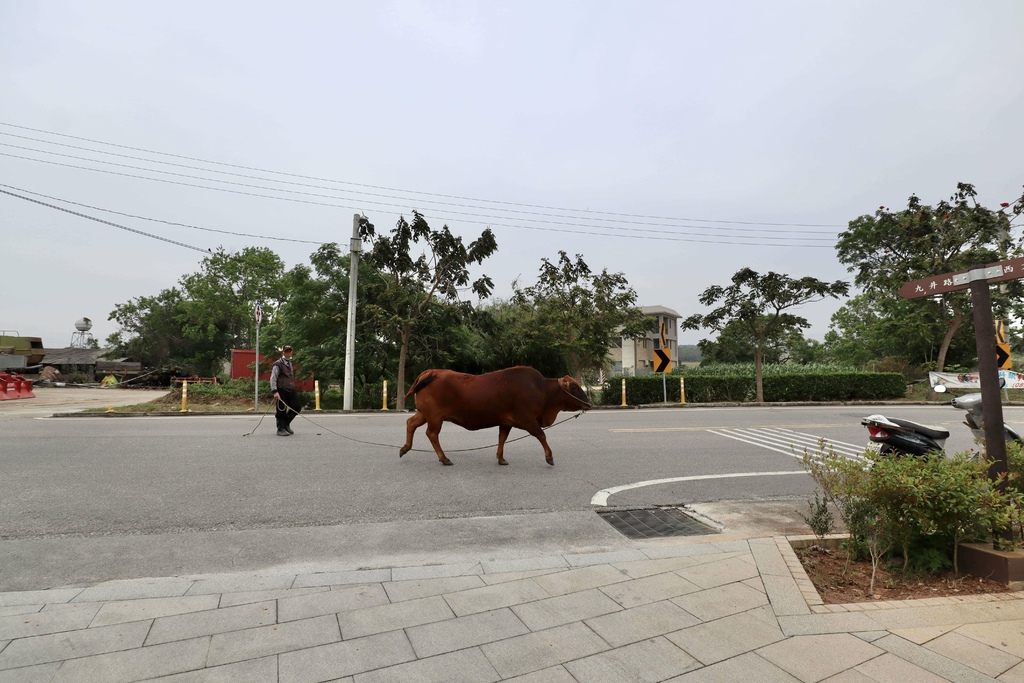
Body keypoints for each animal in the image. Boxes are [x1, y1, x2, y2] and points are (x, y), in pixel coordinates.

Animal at [399, 368, 593, 464]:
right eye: (574, 387)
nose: (589, 403)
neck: (541, 389)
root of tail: (432, 372)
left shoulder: (506, 422)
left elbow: (502, 439)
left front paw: (501, 458)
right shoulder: (527, 420)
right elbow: (541, 435)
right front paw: (549, 457)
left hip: (424, 414)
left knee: (410, 424)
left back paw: (405, 448)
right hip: (435, 417)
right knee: (431, 434)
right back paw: (444, 458)